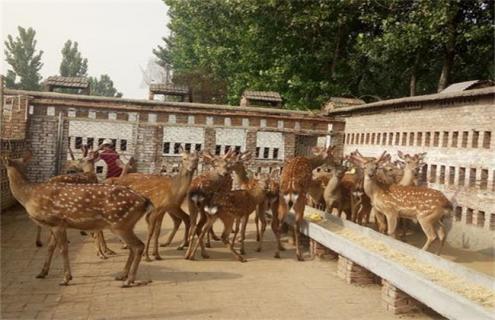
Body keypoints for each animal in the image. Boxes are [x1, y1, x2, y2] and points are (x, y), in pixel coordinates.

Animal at [3, 152, 153, 288]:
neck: (29, 195)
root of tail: (144, 201)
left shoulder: (57, 222)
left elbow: (63, 249)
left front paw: (66, 279)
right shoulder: (55, 225)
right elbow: (51, 247)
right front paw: (42, 272)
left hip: (120, 223)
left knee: (138, 246)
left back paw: (128, 280)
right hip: (125, 225)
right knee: (132, 247)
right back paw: (122, 275)